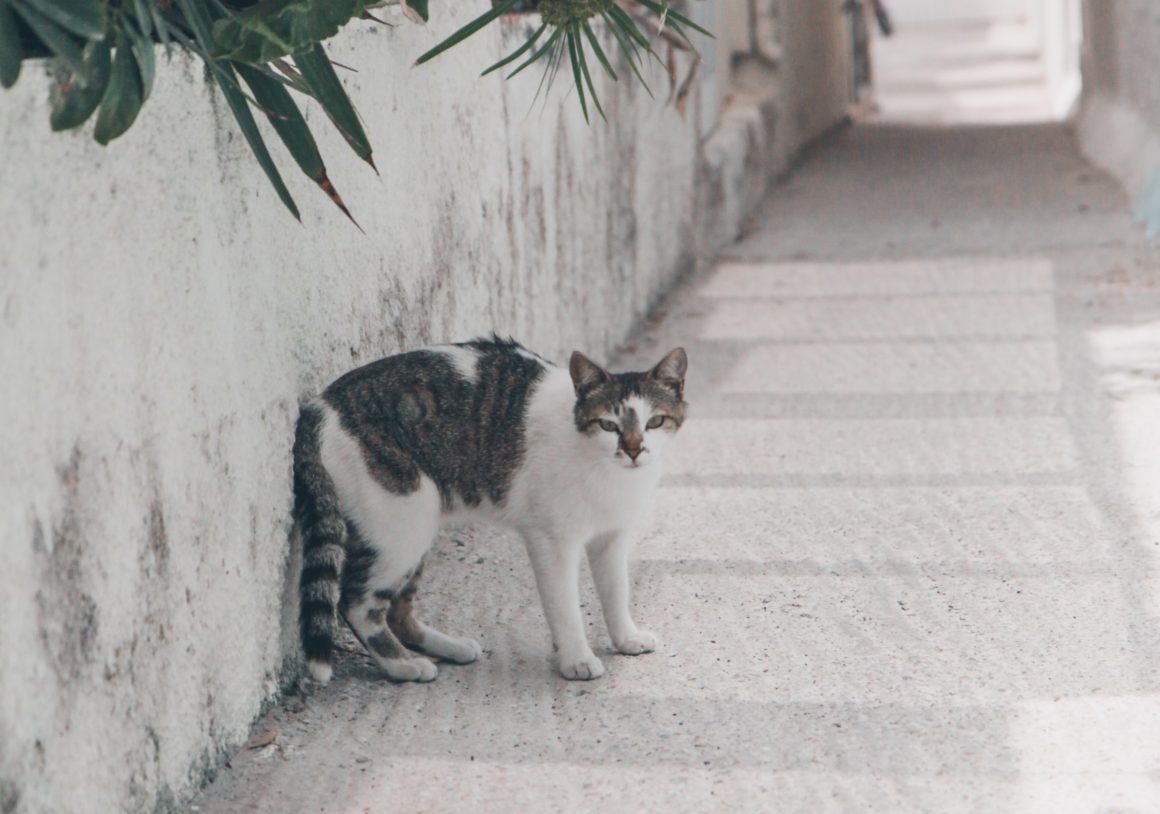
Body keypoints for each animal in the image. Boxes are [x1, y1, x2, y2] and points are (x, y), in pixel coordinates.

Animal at [292, 333, 686, 686]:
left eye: (654, 422)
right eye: (608, 424)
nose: (634, 450)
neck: (608, 472)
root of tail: (319, 407)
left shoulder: (612, 537)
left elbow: (616, 591)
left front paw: (625, 638)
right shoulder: (552, 542)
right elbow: (564, 606)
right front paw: (576, 659)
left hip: (416, 528)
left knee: (399, 611)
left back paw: (447, 648)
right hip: (402, 524)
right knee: (357, 604)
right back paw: (403, 666)